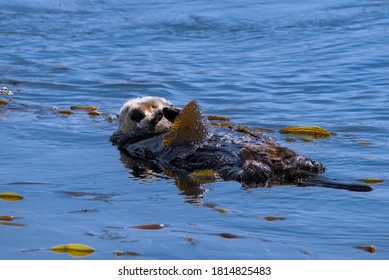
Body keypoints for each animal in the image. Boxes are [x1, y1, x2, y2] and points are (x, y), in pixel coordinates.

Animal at [110, 97, 372, 192]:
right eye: (131, 113)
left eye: (157, 104)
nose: (147, 113)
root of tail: (285, 171)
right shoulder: (128, 142)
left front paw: (172, 111)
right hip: (233, 169)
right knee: (255, 173)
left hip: (298, 159)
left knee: (312, 164)